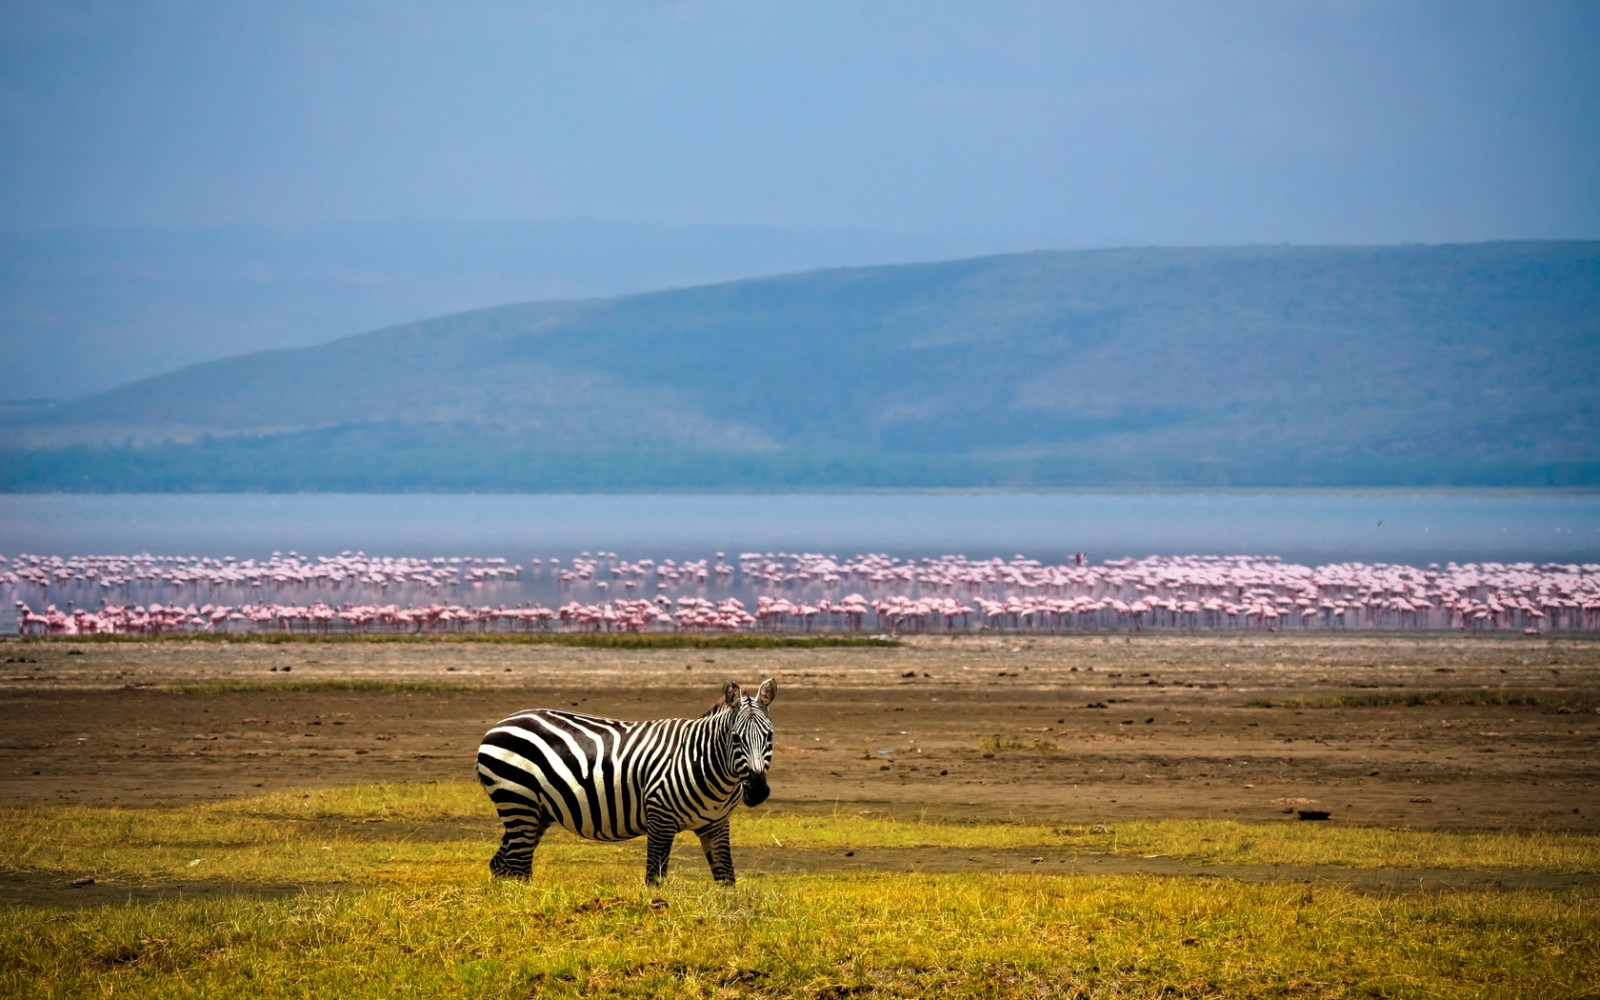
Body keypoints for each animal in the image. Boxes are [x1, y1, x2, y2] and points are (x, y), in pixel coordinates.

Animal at [476, 678, 776, 886]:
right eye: (735, 738)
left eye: (770, 736)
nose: (758, 791)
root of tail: (498, 725)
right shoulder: (660, 818)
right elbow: (655, 879)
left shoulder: (716, 825)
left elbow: (726, 879)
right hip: (517, 800)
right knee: (518, 866)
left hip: (535, 810)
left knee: (502, 863)